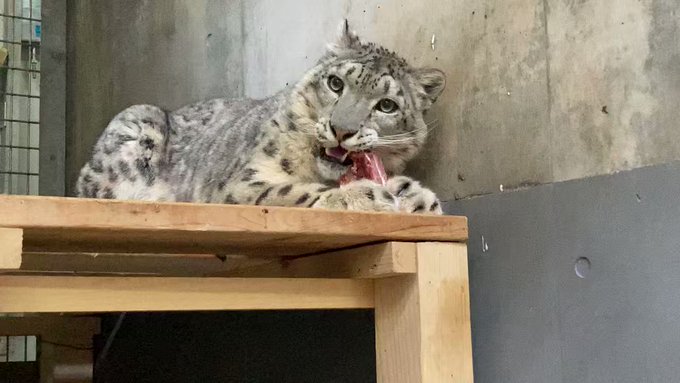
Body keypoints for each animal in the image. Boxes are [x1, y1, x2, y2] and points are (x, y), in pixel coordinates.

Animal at [75, 21, 446, 214]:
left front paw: (417, 197)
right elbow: (287, 194)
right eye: (336, 83)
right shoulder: (242, 184)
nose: (341, 130)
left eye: (387, 106)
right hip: (137, 124)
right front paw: (362, 197)